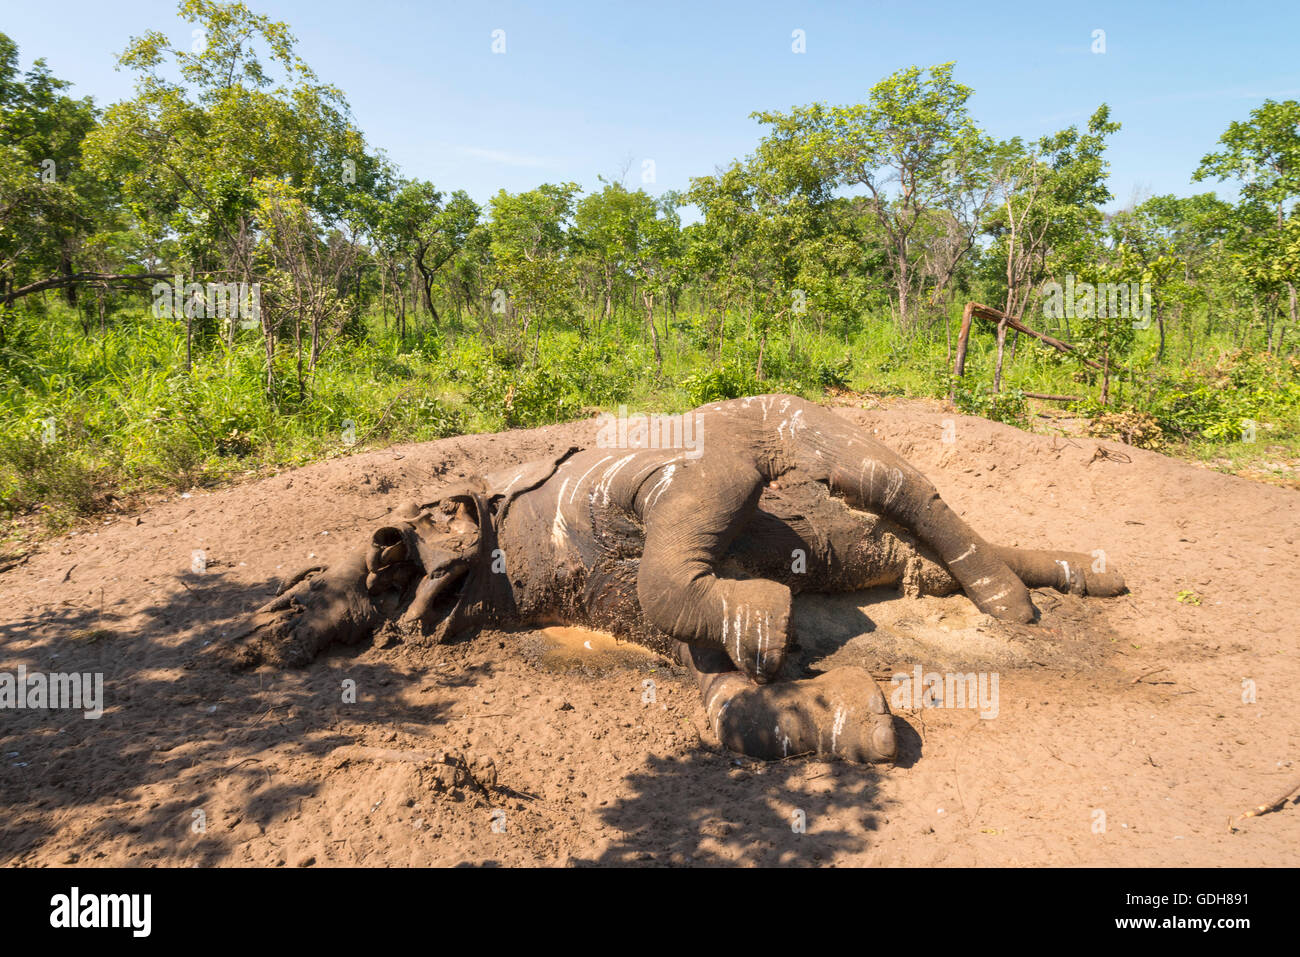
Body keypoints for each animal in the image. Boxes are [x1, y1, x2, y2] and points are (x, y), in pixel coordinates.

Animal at [230, 394, 1125, 764]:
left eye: (308, 591)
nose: (247, 646)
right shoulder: (600, 597)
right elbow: (714, 684)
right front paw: (846, 711)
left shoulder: (638, 478)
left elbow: (692, 532)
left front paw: (774, 623)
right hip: (884, 552)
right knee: (917, 560)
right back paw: (1087, 578)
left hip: (820, 427)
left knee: (900, 486)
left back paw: (1015, 605)